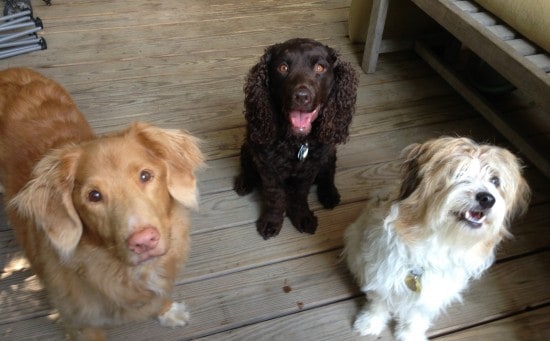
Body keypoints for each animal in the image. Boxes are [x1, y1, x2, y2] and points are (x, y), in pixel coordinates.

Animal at [0, 67, 205, 338]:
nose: (144, 241)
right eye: (94, 196)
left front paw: (167, 310)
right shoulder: (81, 324)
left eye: (145, 176)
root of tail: (9, 70)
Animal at [344, 137, 532, 340]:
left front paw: (410, 334)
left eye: (495, 180)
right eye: (457, 173)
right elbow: (379, 302)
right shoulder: (382, 272)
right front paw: (370, 323)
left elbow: (417, 315)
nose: (487, 199)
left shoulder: (434, 292)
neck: (440, 240)